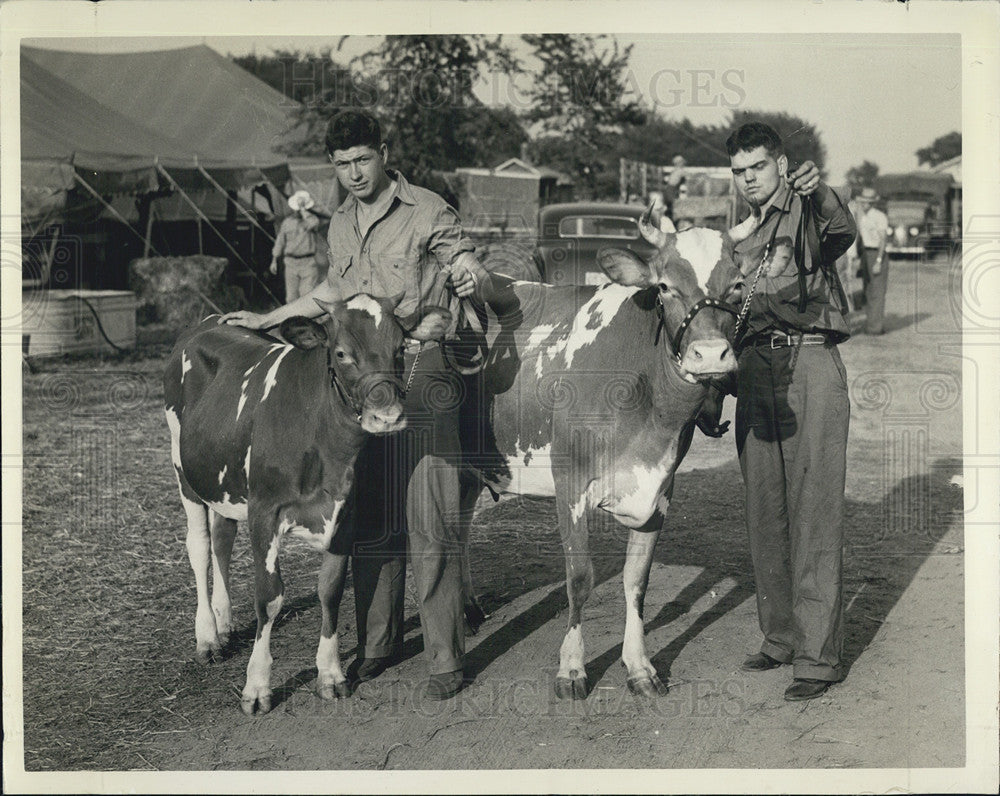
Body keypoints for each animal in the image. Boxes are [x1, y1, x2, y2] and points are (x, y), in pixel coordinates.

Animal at [163, 296, 450, 716]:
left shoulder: (344, 512)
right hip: (183, 469)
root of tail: (210, 320)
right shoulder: (264, 511)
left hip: (223, 481)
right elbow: (269, 596)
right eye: (341, 353)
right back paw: (208, 638)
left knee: (222, 540)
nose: (387, 416)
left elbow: (330, 589)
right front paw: (256, 686)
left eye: (400, 348)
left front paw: (330, 674)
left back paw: (224, 620)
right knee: (199, 547)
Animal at [458, 216, 752, 696]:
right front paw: (572, 668)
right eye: (665, 286)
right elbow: (580, 579)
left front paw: (639, 665)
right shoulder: (571, 485)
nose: (710, 355)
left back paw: (467, 608)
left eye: (738, 285)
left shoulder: (659, 488)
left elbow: (636, 581)